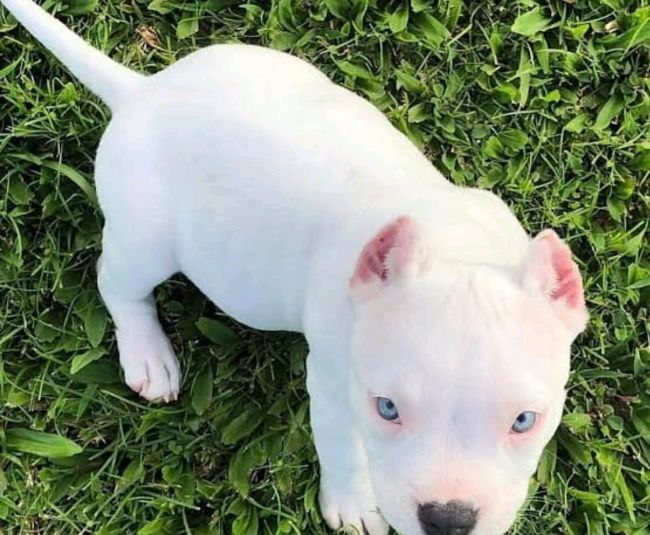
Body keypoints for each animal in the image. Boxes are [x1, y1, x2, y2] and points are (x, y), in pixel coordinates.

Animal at [1, 1, 589, 534]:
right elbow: (343, 446)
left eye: (524, 421)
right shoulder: (332, 385)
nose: (448, 520)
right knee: (117, 281)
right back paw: (147, 352)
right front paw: (352, 505)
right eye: (387, 409)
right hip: (147, 239)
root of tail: (141, 93)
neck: (453, 246)